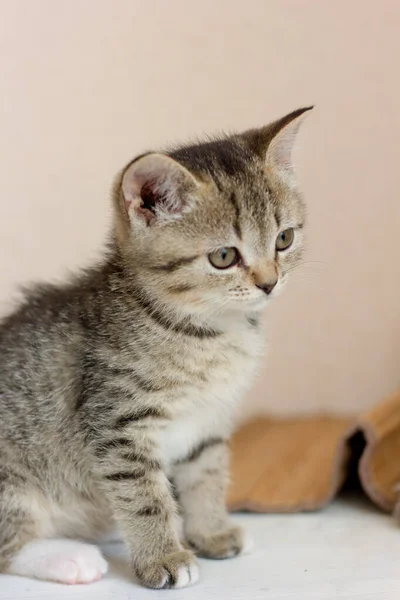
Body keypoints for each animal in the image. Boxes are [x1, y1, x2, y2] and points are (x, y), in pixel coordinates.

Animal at [0, 105, 312, 588]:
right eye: (224, 257)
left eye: (284, 239)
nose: (269, 282)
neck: (207, 333)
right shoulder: (117, 422)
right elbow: (144, 495)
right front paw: (164, 557)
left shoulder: (209, 420)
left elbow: (206, 475)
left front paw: (211, 532)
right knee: (9, 545)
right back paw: (71, 559)